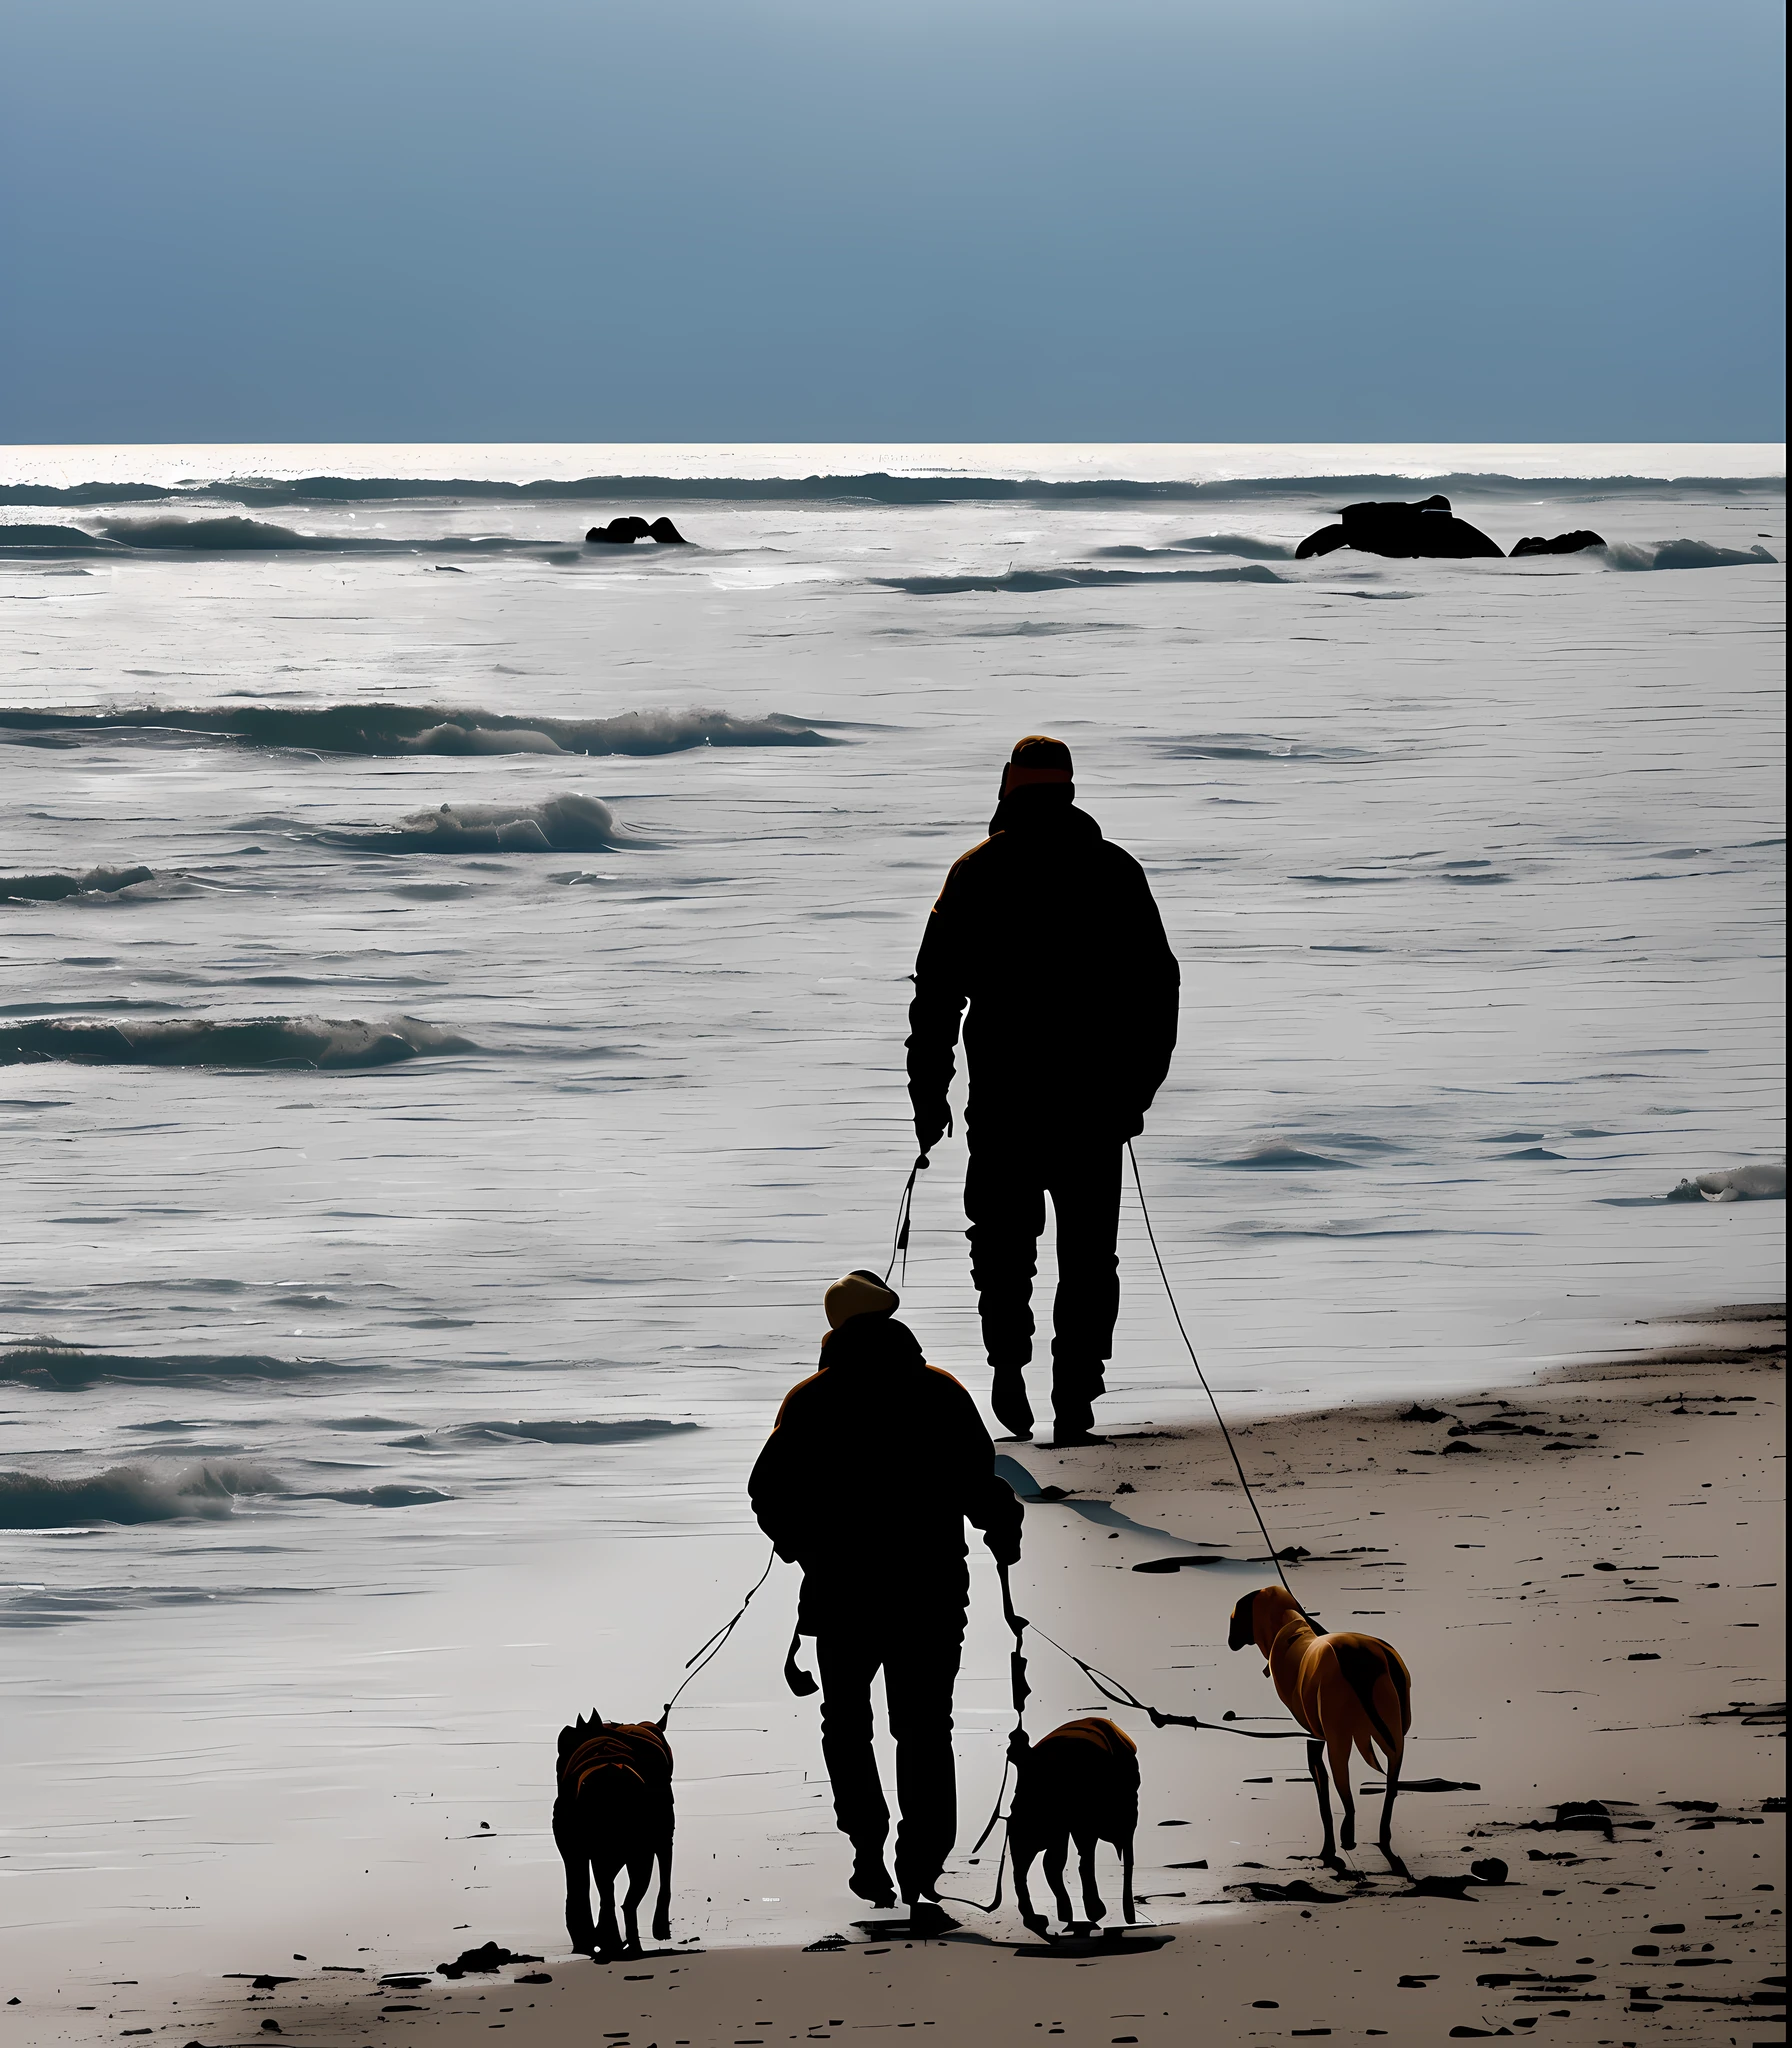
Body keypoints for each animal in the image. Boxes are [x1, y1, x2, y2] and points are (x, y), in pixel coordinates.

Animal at [1236, 1581, 1417, 1875]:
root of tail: (1367, 1658)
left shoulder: (1315, 1739)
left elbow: (1322, 1794)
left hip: (1339, 1739)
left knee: (1348, 1797)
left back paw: (1348, 1837)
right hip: (1395, 1736)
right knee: (1390, 1788)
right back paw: (1382, 1835)